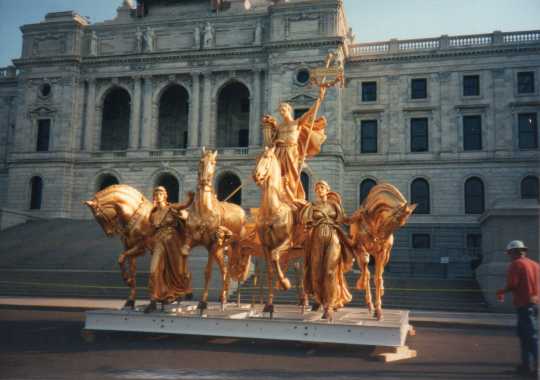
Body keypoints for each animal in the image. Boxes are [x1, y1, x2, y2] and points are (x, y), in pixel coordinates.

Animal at [348, 183, 416, 320]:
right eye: (396, 220)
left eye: (402, 225)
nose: (380, 238)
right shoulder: (360, 249)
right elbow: (367, 273)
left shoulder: (382, 253)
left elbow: (378, 278)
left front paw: (378, 310)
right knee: (366, 272)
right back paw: (369, 303)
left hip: (385, 255)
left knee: (379, 272)